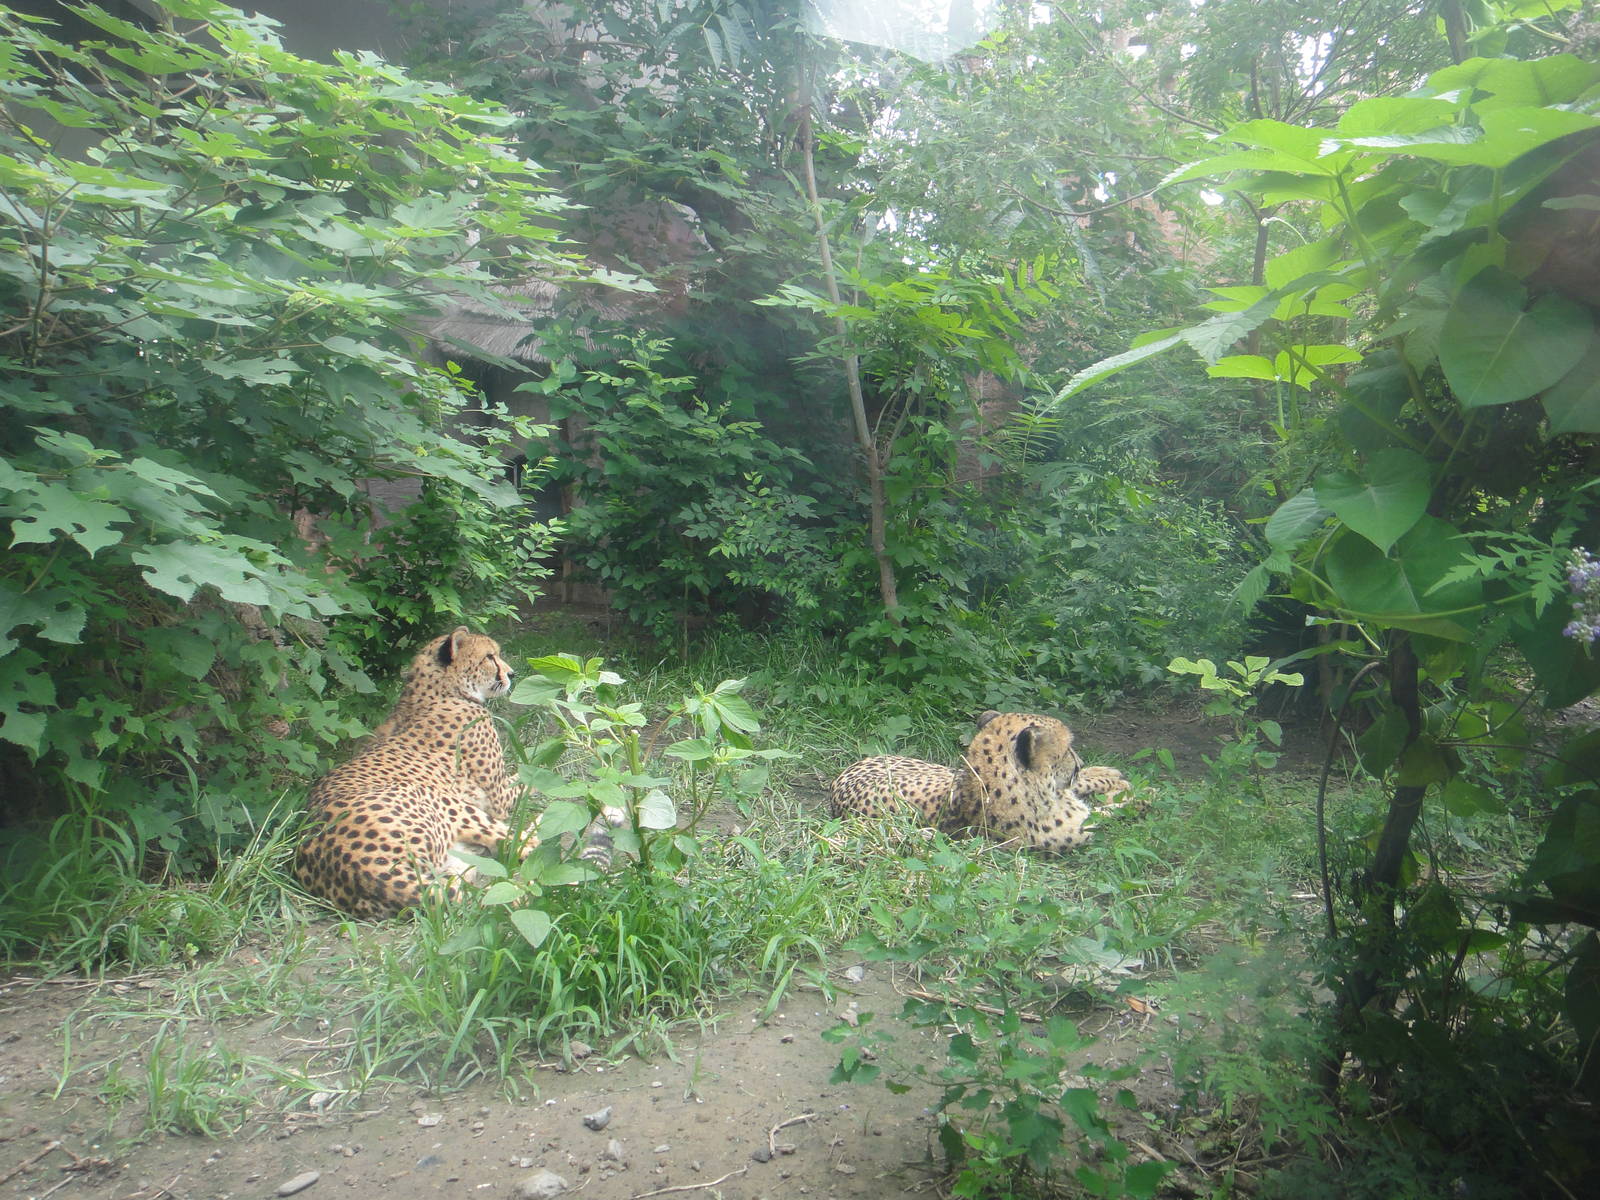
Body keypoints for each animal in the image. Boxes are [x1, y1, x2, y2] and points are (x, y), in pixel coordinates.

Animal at [293, 626, 532, 919]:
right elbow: (531, 774)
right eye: (490, 657)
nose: (512, 674)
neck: (440, 690)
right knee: (522, 844)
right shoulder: (499, 799)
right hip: (444, 803)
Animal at [829, 710, 1140, 853]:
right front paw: (1140, 796)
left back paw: (1109, 772)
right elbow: (1114, 812)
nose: (1080, 763)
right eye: (1066, 750)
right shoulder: (1082, 830)